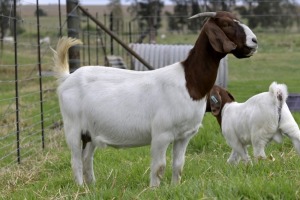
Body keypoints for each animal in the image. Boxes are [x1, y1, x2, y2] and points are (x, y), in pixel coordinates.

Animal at [52, 10, 258, 186]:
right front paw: (154, 189)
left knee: (87, 158)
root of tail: (67, 77)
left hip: (90, 133)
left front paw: (175, 187)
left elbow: (178, 165)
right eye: (226, 23)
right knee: (76, 160)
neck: (189, 82)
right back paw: (81, 188)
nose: (254, 41)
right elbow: (159, 166)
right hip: (72, 126)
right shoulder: (161, 133)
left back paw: (93, 186)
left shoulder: (185, 135)